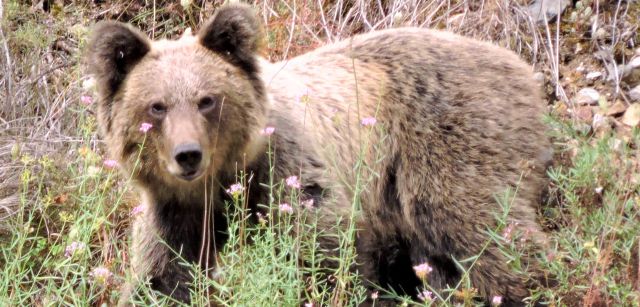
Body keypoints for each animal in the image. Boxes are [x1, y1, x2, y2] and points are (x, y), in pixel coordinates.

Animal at [87, 1, 552, 306]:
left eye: (206, 100)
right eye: (157, 106)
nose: (188, 155)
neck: (225, 183)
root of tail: (520, 65)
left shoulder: (292, 178)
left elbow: (320, 253)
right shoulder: (174, 214)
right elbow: (163, 278)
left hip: (446, 141)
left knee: (478, 227)